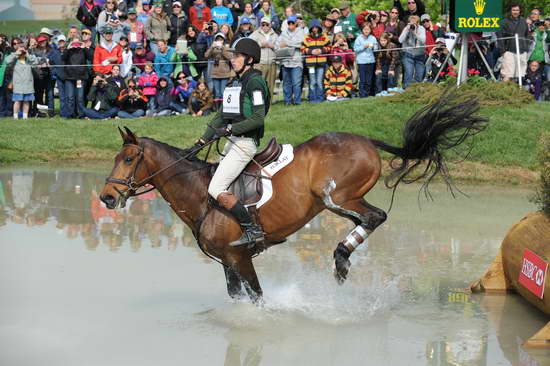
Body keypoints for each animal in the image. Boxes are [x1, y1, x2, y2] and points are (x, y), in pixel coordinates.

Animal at [101, 91, 490, 304]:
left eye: (130, 159)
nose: (106, 197)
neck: (199, 194)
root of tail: (366, 140)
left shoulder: (239, 256)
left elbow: (256, 297)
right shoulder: (227, 262)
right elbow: (239, 297)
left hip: (337, 196)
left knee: (375, 216)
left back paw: (340, 257)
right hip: (336, 204)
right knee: (366, 220)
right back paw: (342, 259)